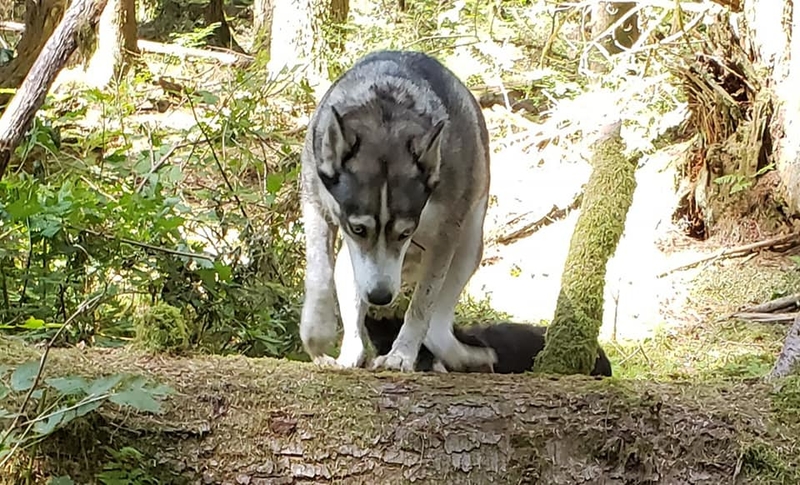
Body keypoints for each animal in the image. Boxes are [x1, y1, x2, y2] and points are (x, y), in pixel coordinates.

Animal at [296, 51, 496, 370]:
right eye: (358, 229)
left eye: (405, 233)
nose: (380, 296)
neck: (385, 118)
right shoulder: (315, 204)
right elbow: (318, 274)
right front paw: (317, 333)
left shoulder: (444, 238)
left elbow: (421, 307)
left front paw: (401, 355)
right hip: (351, 269)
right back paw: (349, 355)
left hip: (468, 247)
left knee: (437, 328)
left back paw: (466, 358)